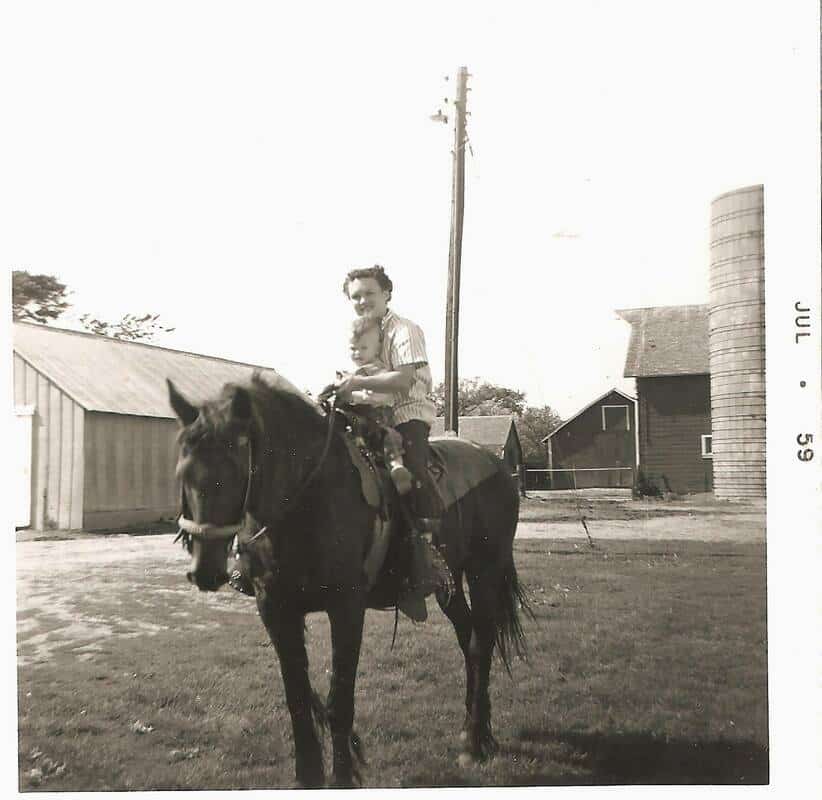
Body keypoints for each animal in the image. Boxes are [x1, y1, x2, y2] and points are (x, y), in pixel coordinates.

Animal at [167, 374, 536, 788]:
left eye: (235, 468)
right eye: (182, 474)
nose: (205, 570)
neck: (308, 497)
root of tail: (497, 465)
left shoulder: (346, 608)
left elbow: (339, 701)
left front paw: (342, 776)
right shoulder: (275, 609)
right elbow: (297, 698)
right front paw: (307, 777)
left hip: (485, 569)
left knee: (481, 643)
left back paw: (475, 741)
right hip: (448, 581)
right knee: (467, 636)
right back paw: (476, 731)